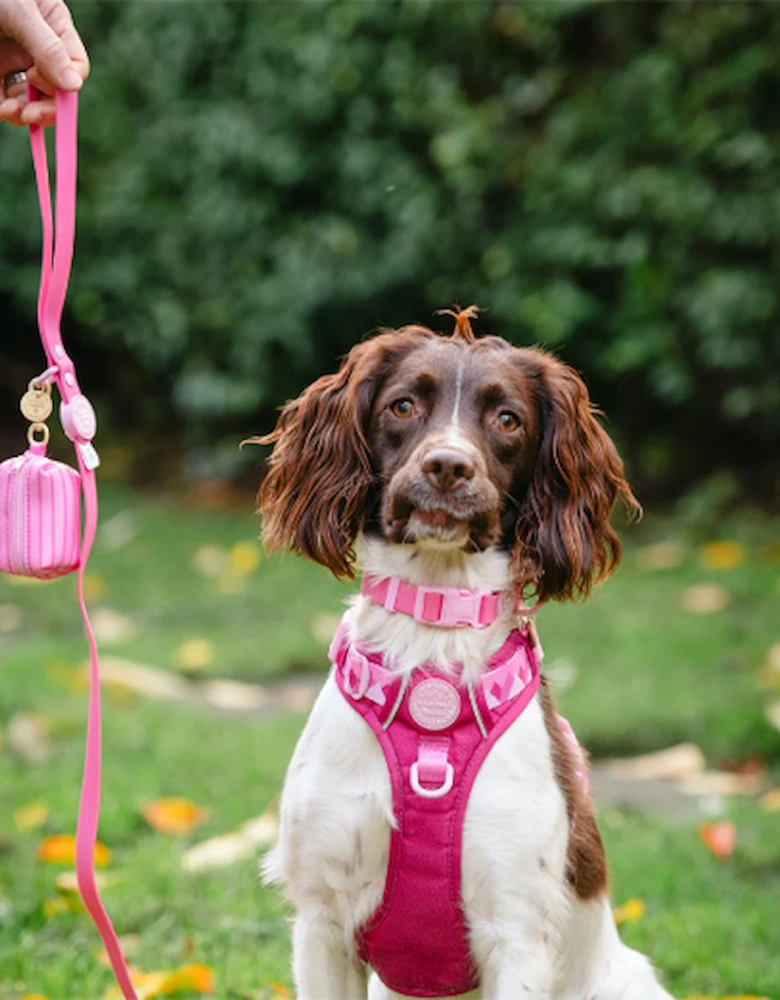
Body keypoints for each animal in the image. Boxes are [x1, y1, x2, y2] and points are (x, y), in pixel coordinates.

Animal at [254, 306, 672, 1000]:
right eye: (402, 406)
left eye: (507, 420)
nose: (448, 466)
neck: (432, 636)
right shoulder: (321, 919)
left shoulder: (517, 929)